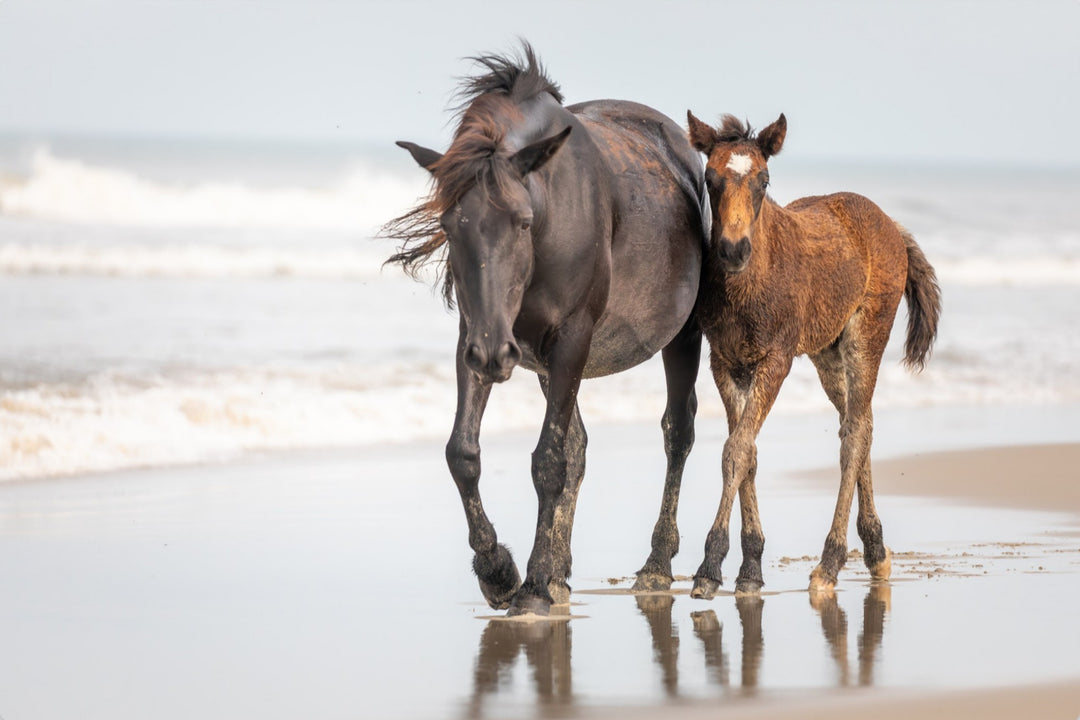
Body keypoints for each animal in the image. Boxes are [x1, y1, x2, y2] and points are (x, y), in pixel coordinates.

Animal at [382, 44, 709, 616]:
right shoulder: (476, 336)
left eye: (523, 221)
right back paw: (561, 572)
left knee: (678, 432)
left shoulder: (571, 339)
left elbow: (549, 462)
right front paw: (499, 572)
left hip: (681, 336)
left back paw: (654, 564)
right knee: (580, 444)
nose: (495, 356)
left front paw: (530, 585)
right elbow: (464, 454)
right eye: (448, 225)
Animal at [683, 111, 941, 597]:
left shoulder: (776, 361)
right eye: (710, 178)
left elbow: (736, 451)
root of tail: (892, 226)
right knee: (859, 425)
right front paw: (750, 568)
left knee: (855, 432)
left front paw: (709, 568)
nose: (733, 249)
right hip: (827, 352)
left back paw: (830, 562)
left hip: (866, 334)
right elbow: (746, 453)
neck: (749, 284)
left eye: (764, 180)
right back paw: (875, 551)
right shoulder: (725, 362)